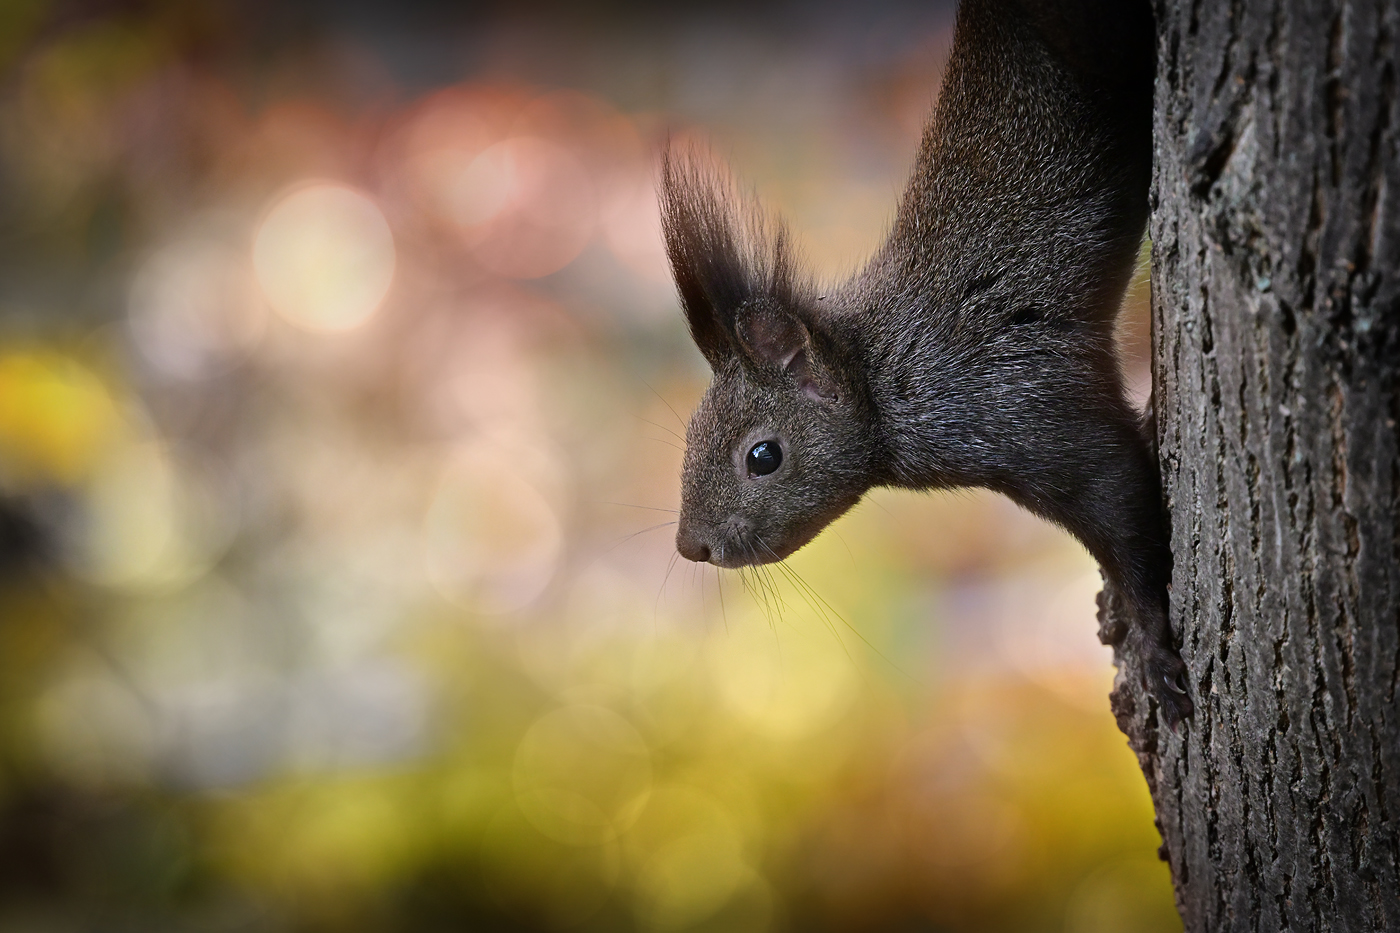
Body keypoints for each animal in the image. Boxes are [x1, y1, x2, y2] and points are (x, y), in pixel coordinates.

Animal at [658, 0, 1192, 728]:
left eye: (762, 456)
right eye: (688, 434)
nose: (693, 546)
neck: (886, 378)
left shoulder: (1028, 405)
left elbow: (1125, 507)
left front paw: (1152, 644)